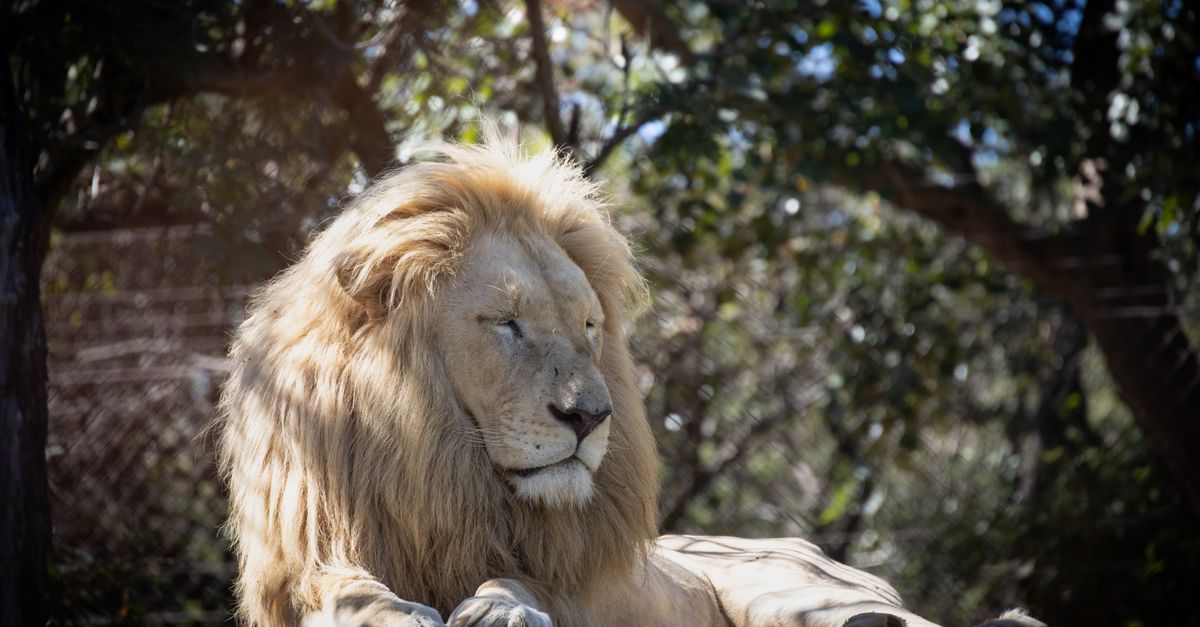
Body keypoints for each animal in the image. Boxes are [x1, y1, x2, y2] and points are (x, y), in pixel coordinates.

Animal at [217, 137, 997, 626]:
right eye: (508, 323)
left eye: (589, 326)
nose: (591, 416)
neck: (437, 467)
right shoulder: (309, 554)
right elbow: (343, 590)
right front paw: (394, 612)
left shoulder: (563, 576)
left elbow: (521, 577)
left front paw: (501, 608)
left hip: (788, 591)